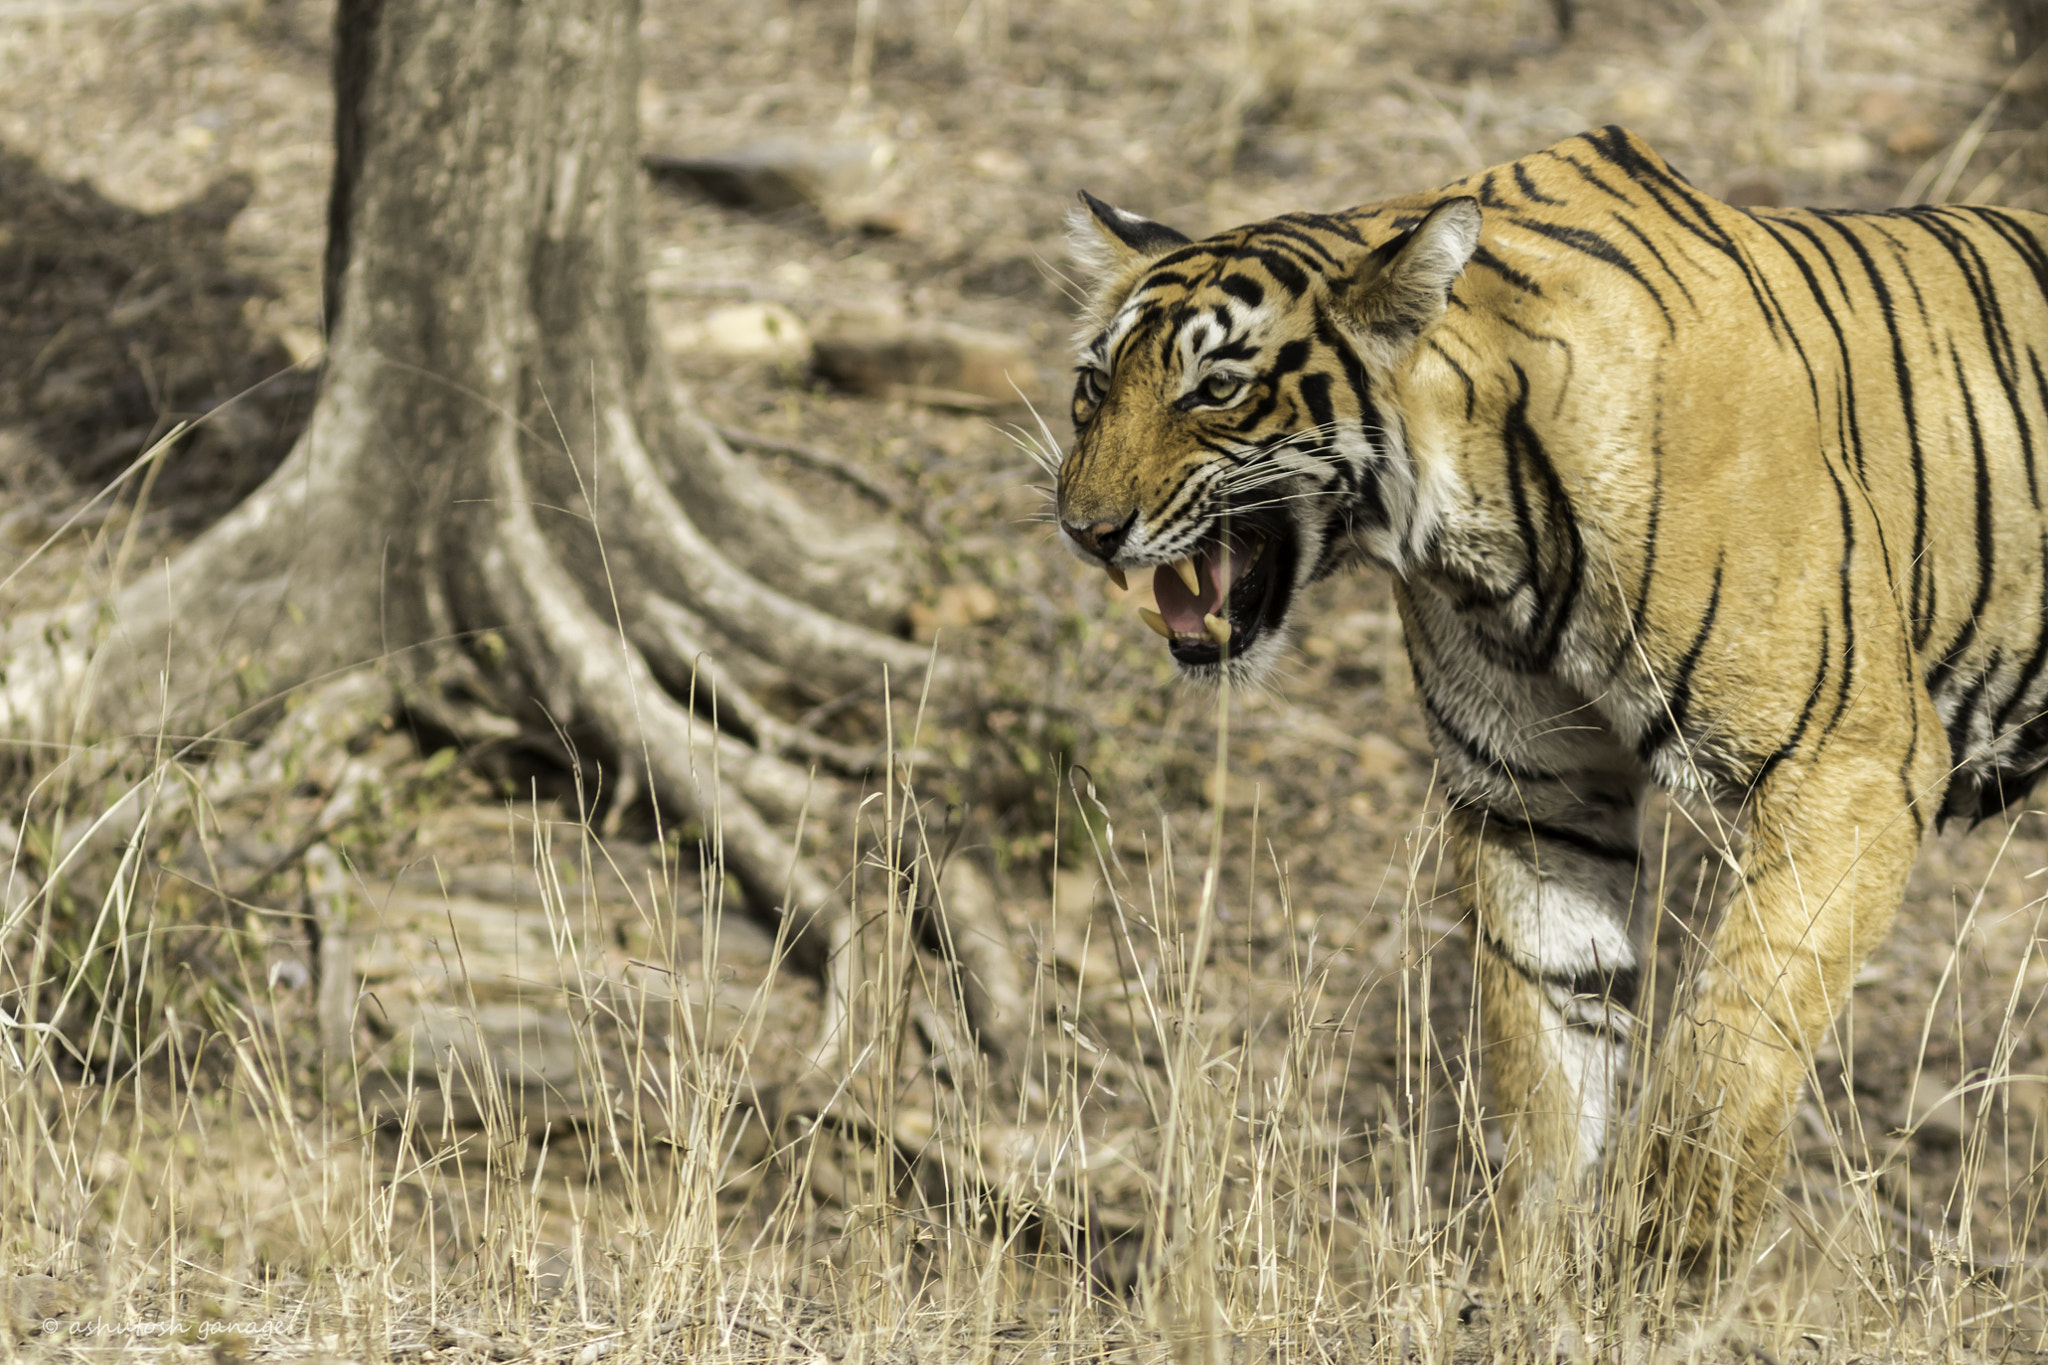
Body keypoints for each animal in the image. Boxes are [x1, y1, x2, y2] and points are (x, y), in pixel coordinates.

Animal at [1052, 124, 2048, 1271]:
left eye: (1214, 389)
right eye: (1092, 385)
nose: (1084, 530)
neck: (1475, 530)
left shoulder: (1852, 762)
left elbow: (1734, 1035)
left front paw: (1669, 1257)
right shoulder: (1536, 797)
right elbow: (1547, 1053)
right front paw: (1542, 1277)